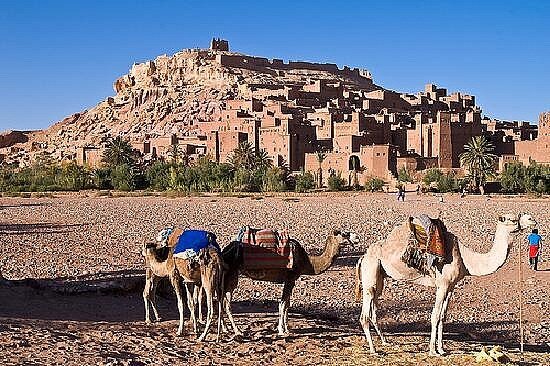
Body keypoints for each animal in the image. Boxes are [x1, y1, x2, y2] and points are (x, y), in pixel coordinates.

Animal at [222, 230, 360, 336]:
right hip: (232, 274)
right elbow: (282, 304)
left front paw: (287, 328)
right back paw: (237, 331)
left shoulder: (291, 281)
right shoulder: (290, 278)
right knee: (227, 303)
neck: (307, 261)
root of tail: (225, 250)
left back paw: (225, 329)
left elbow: (287, 304)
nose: (358, 237)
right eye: (345, 233)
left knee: (222, 300)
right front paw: (281, 330)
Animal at [354, 213, 540, 356]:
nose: (532, 219)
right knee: (364, 314)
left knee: (373, 310)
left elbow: (443, 317)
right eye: (512, 219)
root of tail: (363, 257)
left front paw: (442, 349)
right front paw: (432, 351)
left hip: (380, 277)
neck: (465, 259)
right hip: (371, 273)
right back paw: (373, 350)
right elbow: (435, 316)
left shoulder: (451, 287)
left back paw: (385, 341)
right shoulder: (442, 285)